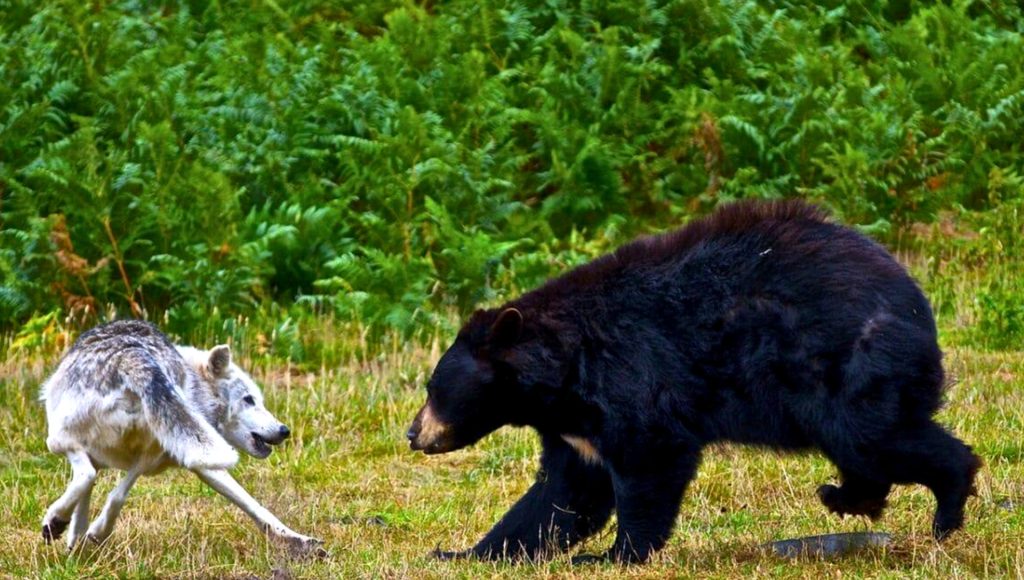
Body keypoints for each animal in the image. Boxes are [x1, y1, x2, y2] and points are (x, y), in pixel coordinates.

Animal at [40, 319, 322, 554]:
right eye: (249, 400)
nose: (284, 430)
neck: (196, 387)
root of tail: (131, 355)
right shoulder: (200, 460)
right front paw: (76, 545)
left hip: (65, 441)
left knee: (97, 482)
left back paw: (61, 522)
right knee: (103, 486)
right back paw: (69, 525)